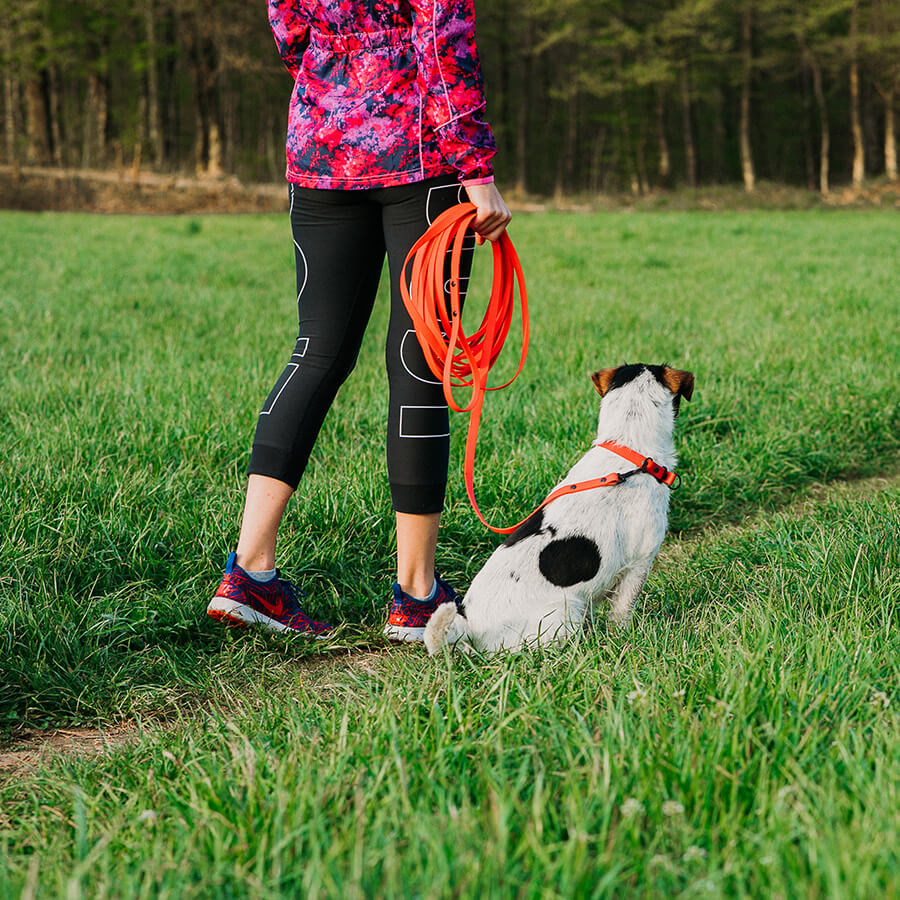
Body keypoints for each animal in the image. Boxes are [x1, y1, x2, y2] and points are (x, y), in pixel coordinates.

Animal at [424, 364, 696, 652]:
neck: (627, 448)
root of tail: (469, 625)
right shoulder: (639, 564)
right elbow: (621, 615)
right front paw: (623, 638)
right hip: (565, 614)